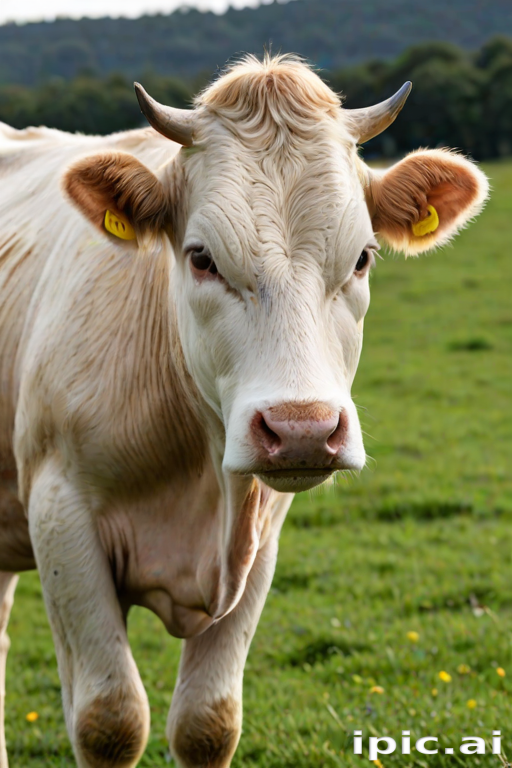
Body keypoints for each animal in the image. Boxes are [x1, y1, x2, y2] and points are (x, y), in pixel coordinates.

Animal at [0, 54, 488, 768]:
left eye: (363, 257)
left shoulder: (262, 533)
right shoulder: (60, 512)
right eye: (202, 257)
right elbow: (109, 718)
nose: (303, 429)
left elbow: (208, 722)